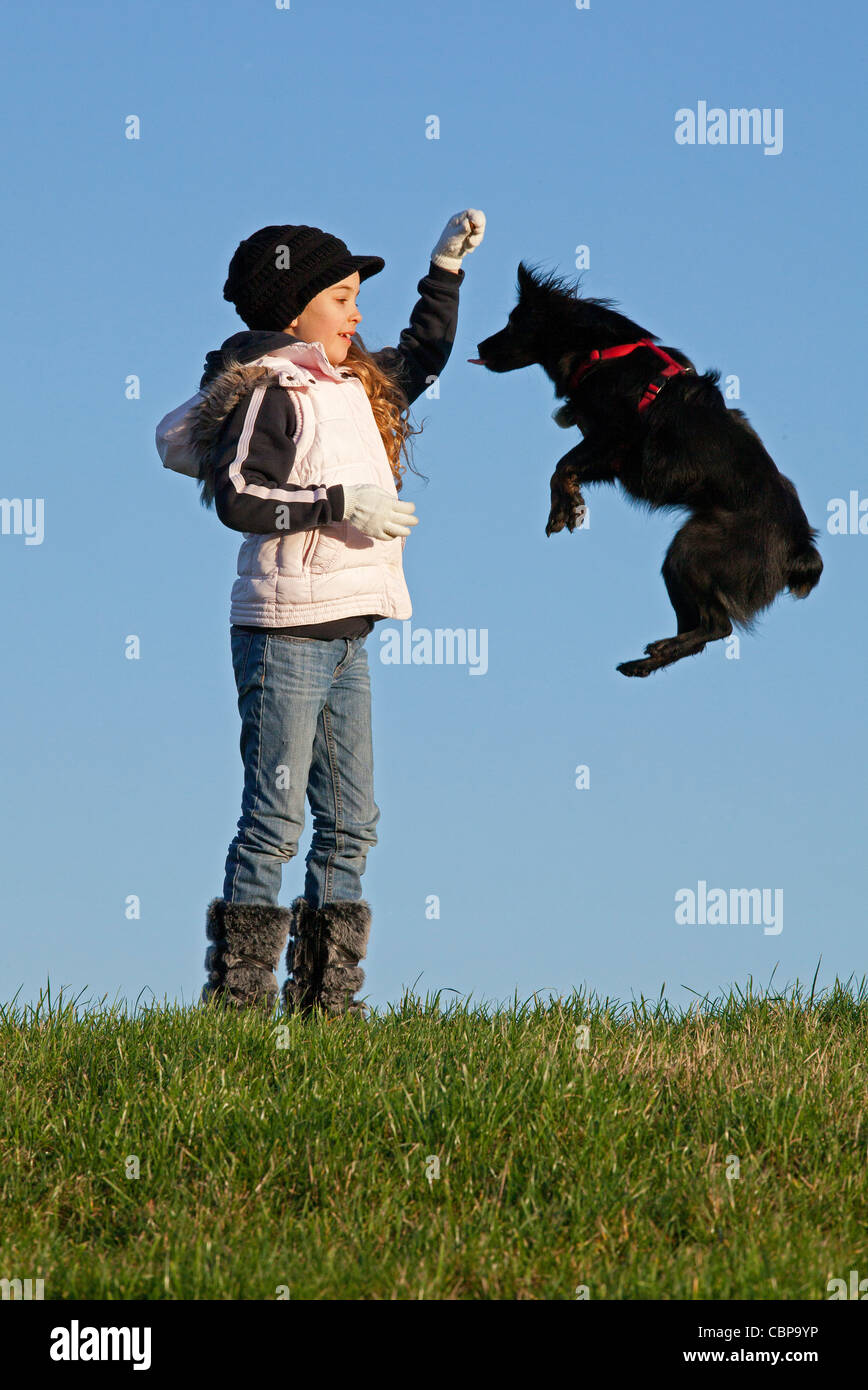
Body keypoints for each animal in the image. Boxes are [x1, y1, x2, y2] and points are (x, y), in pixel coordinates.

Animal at [470, 262, 823, 675]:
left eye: (514, 322)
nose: (479, 347)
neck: (600, 350)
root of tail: (800, 546)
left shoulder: (616, 434)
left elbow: (561, 466)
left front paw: (564, 509)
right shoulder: (609, 457)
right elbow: (568, 466)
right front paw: (572, 504)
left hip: (691, 552)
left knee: (718, 626)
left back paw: (658, 651)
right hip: (684, 560)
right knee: (702, 632)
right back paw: (646, 661)